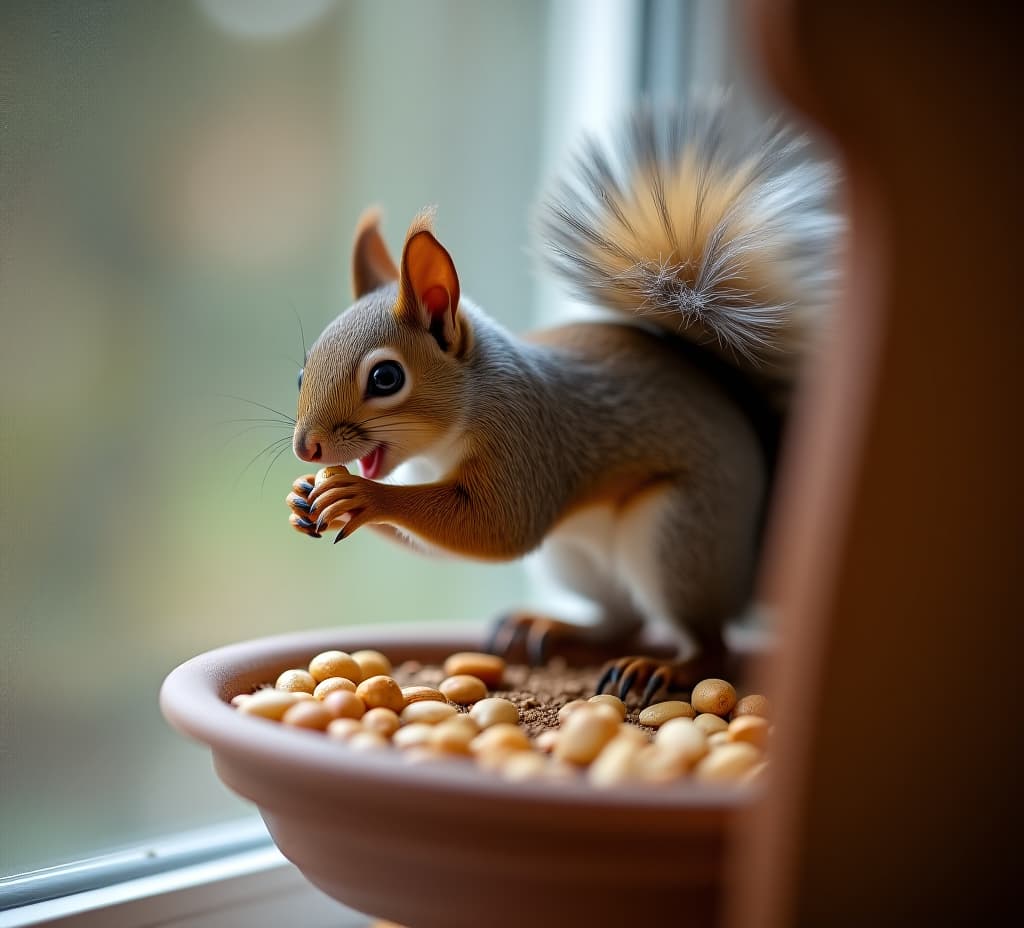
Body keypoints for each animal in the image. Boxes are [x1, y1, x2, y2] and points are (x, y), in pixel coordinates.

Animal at [286, 101, 839, 700]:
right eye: (302, 371)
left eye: (386, 378)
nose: (306, 449)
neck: (456, 425)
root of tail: (753, 557)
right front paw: (304, 497)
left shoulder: (527, 441)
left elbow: (499, 527)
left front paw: (364, 496)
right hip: (576, 559)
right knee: (624, 620)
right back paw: (555, 627)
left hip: (678, 536)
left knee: (713, 645)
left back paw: (666, 668)